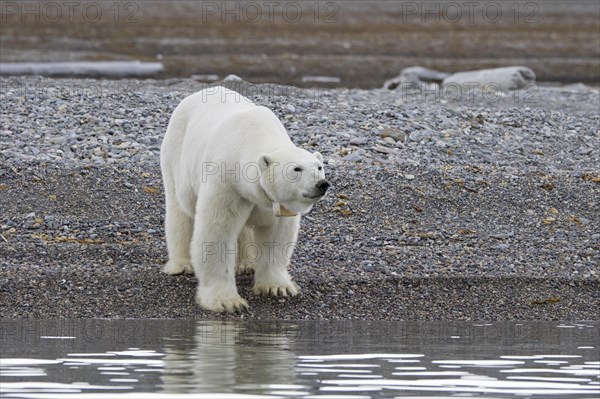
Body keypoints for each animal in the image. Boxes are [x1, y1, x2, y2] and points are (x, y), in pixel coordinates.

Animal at [161, 86, 328, 312]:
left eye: (319, 167)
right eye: (296, 169)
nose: (322, 184)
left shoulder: (269, 200)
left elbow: (277, 234)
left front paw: (277, 287)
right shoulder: (226, 181)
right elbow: (217, 231)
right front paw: (227, 301)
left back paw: (247, 265)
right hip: (176, 157)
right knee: (180, 212)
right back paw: (181, 264)